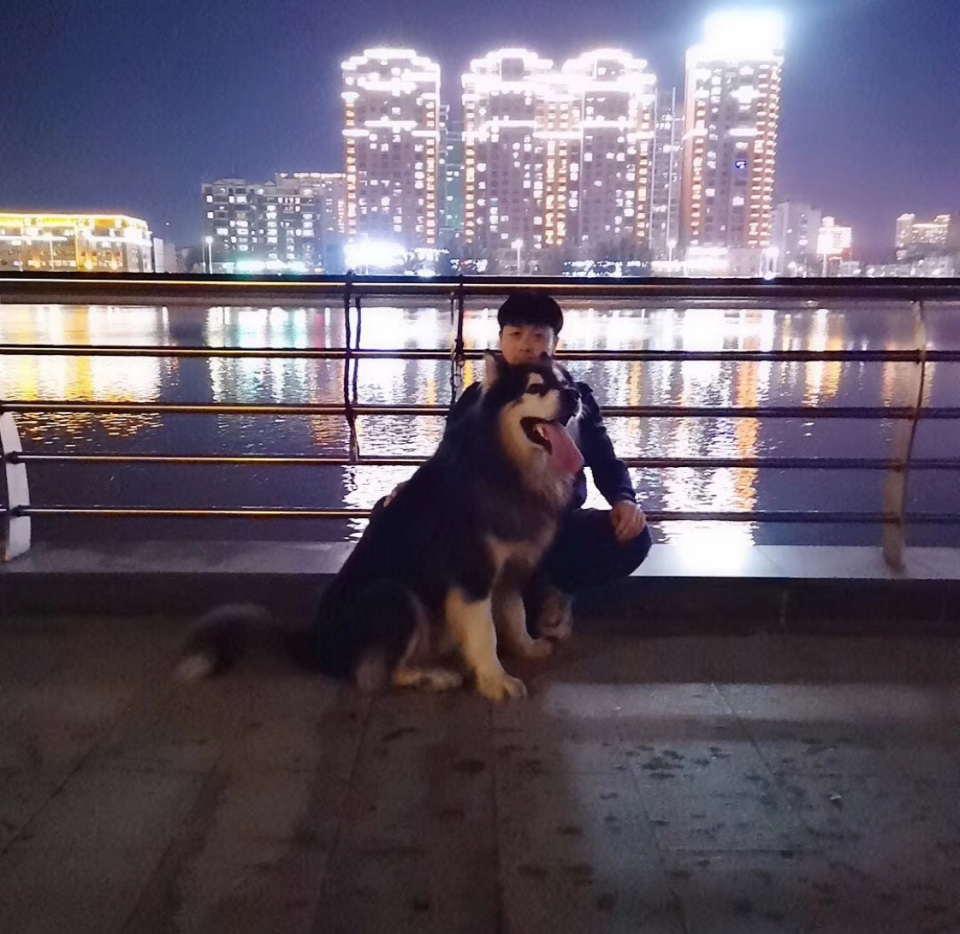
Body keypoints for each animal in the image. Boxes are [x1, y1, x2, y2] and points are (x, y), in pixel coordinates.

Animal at [177, 351, 583, 702]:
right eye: (535, 388)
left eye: (565, 382)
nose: (575, 394)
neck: (503, 466)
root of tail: (315, 643)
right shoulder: (470, 576)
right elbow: (486, 635)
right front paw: (495, 680)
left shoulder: (510, 570)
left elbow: (514, 616)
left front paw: (528, 648)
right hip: (395, 595)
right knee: (377, 671)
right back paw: (431, 676)